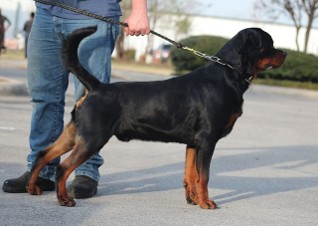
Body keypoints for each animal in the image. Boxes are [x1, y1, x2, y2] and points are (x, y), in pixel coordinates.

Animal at [26, 26, 286, 208]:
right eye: (270, 44)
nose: (284, 53)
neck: (228, 74)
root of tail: (98, 87)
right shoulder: (207, 140)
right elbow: (204, 177)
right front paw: (206, 202)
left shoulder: (193, 143)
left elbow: (190, 175)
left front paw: (193, 200)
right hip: (92, 138)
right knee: (64, 167)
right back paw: (63, 199)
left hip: (75, 133)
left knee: (43, 154)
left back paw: (32, 188)